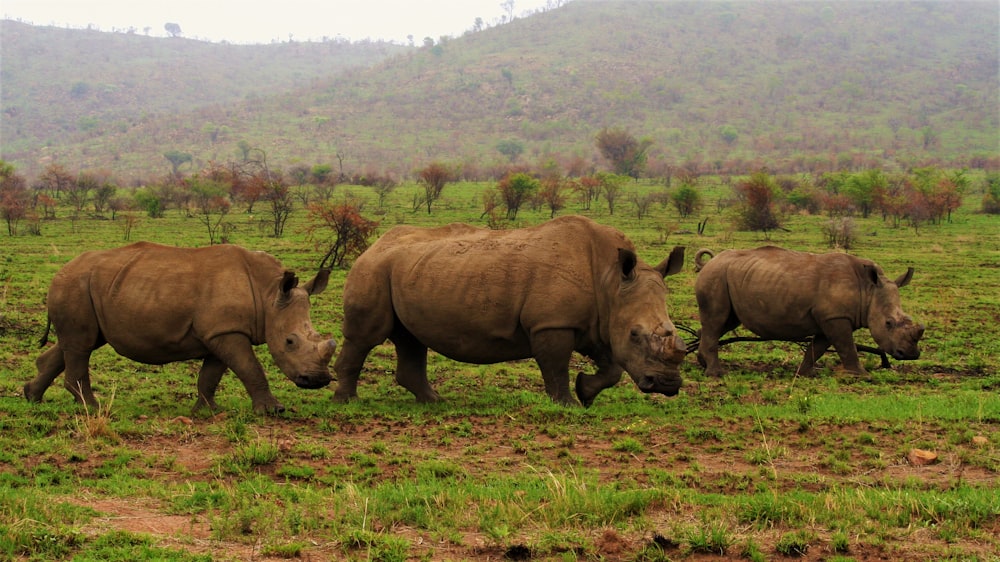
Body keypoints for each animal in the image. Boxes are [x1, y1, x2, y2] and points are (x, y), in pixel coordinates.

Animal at [25, 241, 338, 412]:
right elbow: (251, 368)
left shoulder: (220, 331)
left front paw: (207, 411)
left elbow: (211, 375)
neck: (269, 293)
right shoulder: (226, 331)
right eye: (290, 342)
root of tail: (61, 269)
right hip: (75, 284)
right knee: (81, 345)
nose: (319, 380)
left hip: (89, 287)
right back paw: (92, 407)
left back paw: (32, 397)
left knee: (77, 343)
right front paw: (273, 410)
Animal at [334, 212, 688, 404]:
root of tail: (374, 245)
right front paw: (568, 403)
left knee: (411, 339)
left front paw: (586, 392)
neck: (611, 280)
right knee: (365, 338)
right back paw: (349, 402)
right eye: (635, 335)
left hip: (405, 270)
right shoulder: (553, 322)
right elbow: (556, 366)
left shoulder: (595, 322)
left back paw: (434, 401)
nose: (668, 385)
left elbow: (612, 367)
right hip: (373, 270)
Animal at [696, 245, 920, 376]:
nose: (911, 354)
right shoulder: (836, 317)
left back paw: (702, 363)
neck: (869, 290)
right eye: (888, 323)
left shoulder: (829, 317)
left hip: (726, 276)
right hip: (716, 275)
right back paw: (716, 373)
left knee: (723, 323)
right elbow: (847, 346)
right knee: (716, 320)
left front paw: (804, 373)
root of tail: (710, 261)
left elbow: (817, 347)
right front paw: (862, 375)